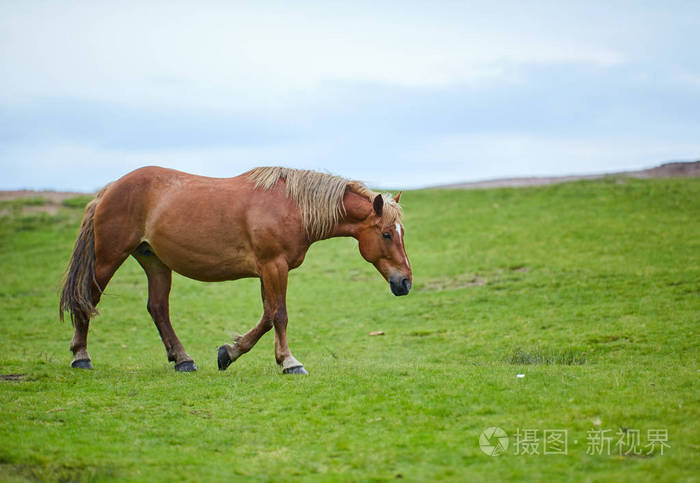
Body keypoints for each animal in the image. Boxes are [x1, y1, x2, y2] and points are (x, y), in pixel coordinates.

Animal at [60, 168, 412, 376]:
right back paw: (81, 356)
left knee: (158, 308)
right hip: (109, 258)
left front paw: (229, 352)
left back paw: (183, 359)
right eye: (386, 234)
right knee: (87, 300)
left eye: (401, 232)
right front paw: (290, 362)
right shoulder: (273, 266)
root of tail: (109, 189)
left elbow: (268, 316)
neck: (291, 206)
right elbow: (279, 315)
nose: (405, 282)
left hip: (155, 262)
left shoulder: (268, 271)